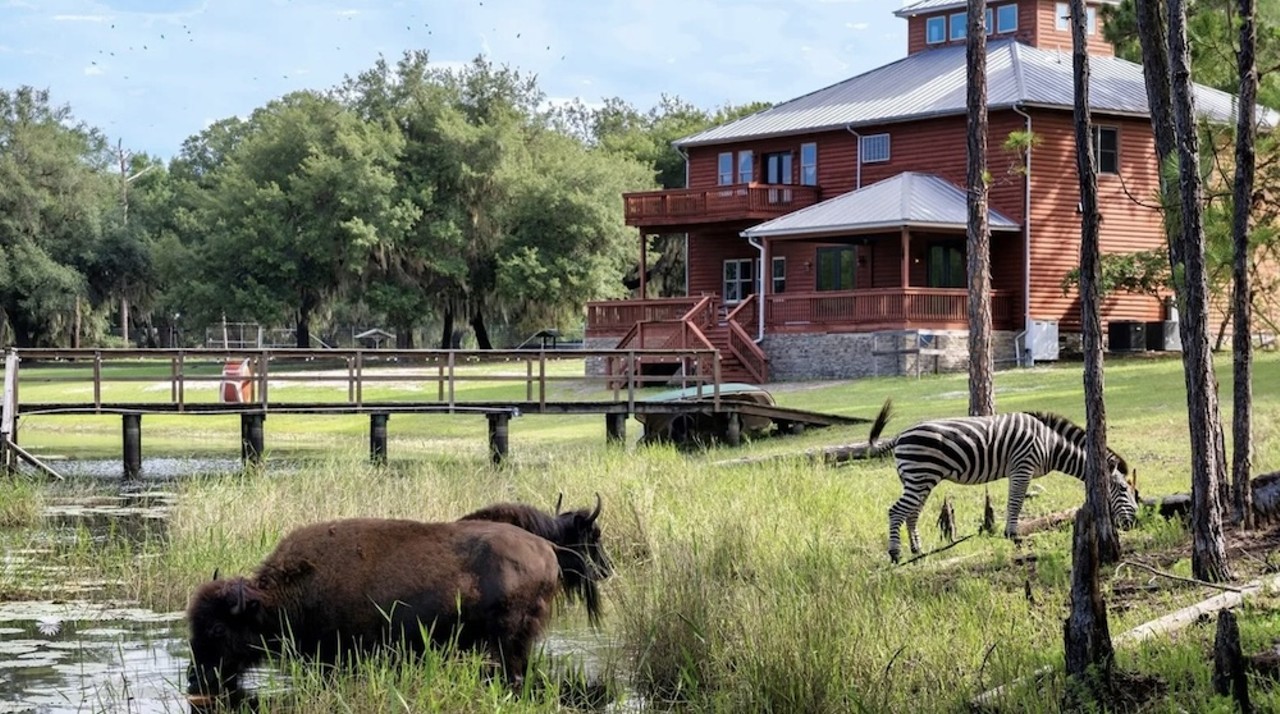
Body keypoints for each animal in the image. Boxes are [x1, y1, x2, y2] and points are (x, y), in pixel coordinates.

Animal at [865, 399, 1136, 563]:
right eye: (1123, 488)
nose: (1133, 523)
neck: (1050, 443)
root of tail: (900, 435)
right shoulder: (1023, 467)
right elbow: (1015, 503)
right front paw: (1013, 536)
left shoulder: (1021, 470)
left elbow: (1014, 502)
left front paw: (1010, 534)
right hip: (919, 477)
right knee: (895, 511)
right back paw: (895, 554)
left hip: (921, 480)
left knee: (911, 514)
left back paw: (917, 550)